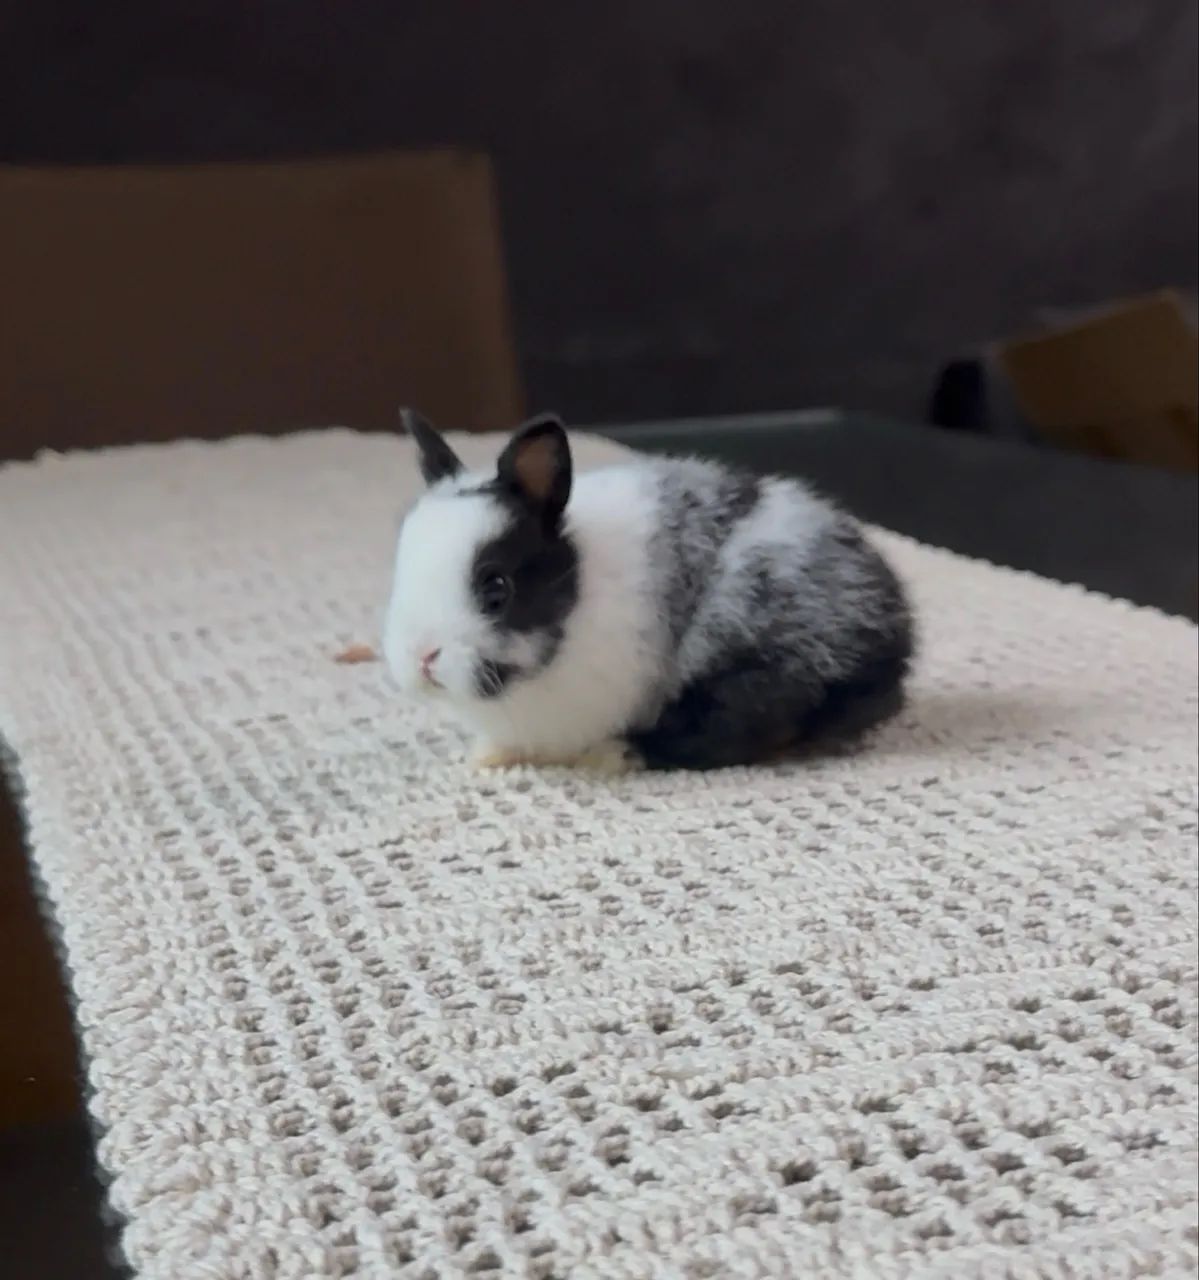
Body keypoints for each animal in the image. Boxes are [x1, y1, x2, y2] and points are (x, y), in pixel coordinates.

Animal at [383, 409, 913, 772]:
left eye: (496, 587)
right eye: (400, 565)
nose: (422, 658)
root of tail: (896, 634)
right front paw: (486, 757)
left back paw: (617, 754)